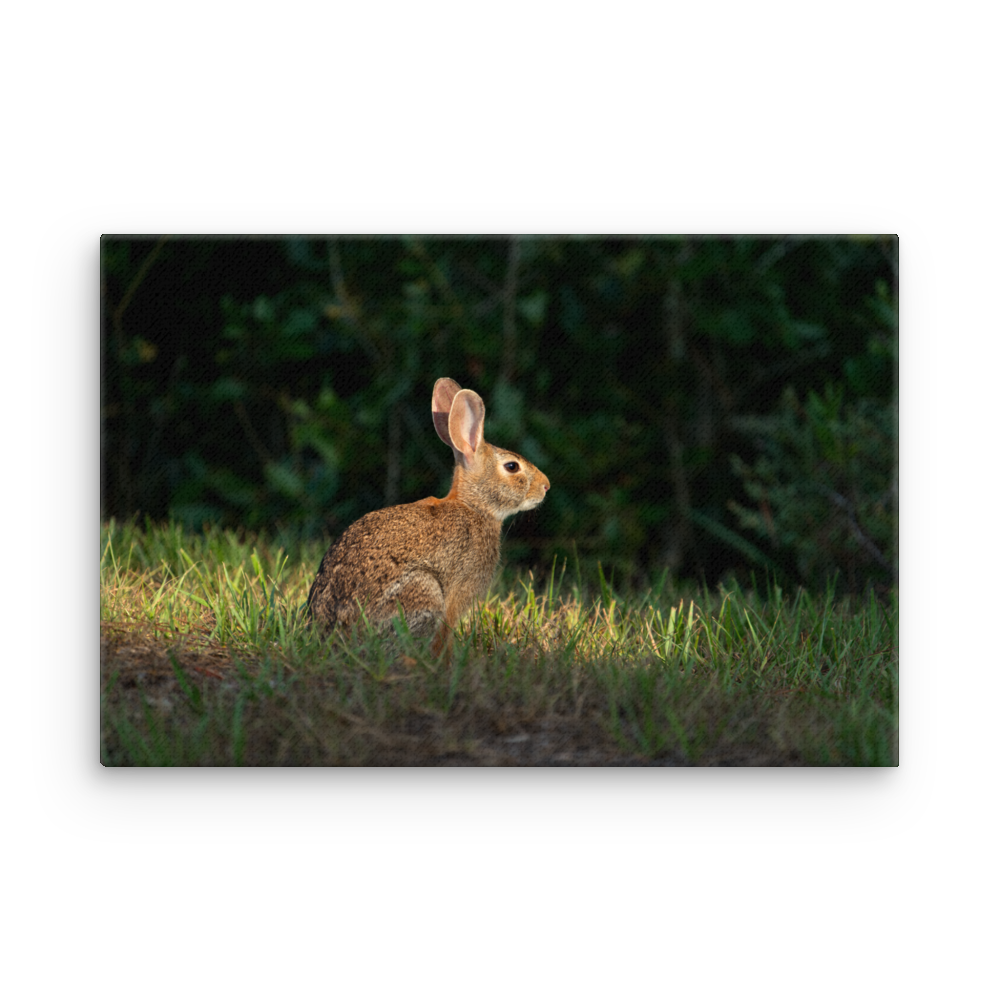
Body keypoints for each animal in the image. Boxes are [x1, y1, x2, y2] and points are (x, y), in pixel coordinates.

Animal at [308, 376, 552, 656]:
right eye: (512, 467)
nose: (546, 486)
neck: (474, 506)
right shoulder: (456, 594)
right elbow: (446, 631)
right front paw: (447, 659)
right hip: (424, 590)